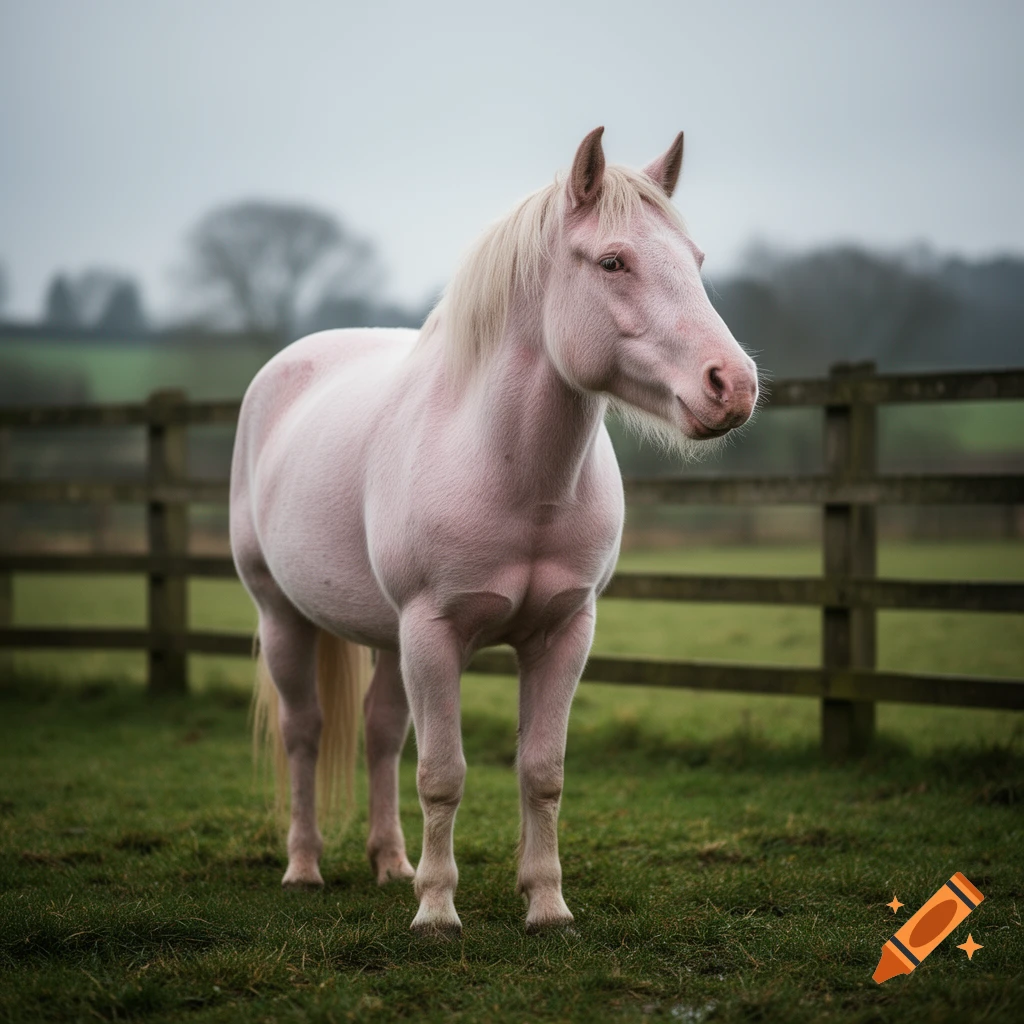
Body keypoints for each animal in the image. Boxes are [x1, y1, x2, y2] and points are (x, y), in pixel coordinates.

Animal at [229, 127, 758, 935]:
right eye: (613, 261)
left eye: (695, 260)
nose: (733, 386)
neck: (512, 475)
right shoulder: (433, 632)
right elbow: (442, 775)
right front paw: (437, 913)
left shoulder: (563, 634)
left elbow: (542, 772)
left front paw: (545, 904)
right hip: (284, 615)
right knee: (305, 732)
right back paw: (305, 867)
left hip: (387, 639)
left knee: (380, 731)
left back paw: (391, 864)